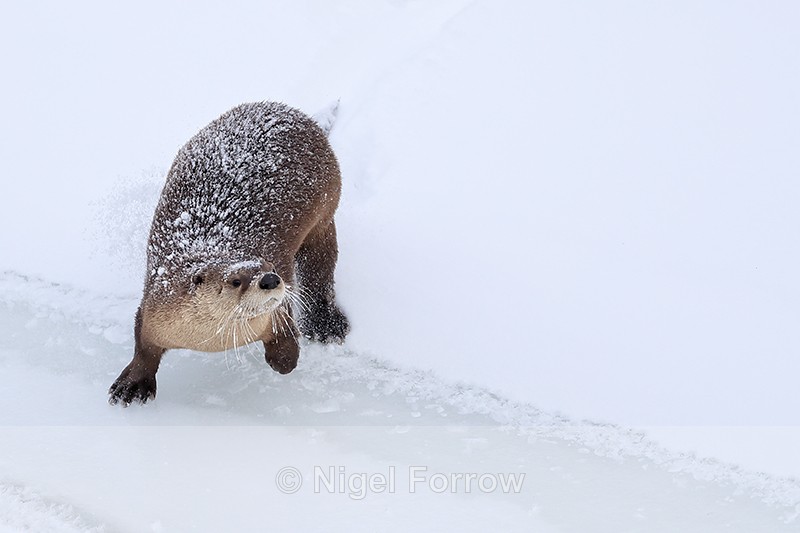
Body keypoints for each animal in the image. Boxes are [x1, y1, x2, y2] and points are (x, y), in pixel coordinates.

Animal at [109, 102, 349, 406]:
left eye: (271, 266)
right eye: (236, 281)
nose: (270, 280)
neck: (206, 341)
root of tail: (295, 113)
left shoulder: (279, 308)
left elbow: (285, 335)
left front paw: (283, 360)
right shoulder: (153, 306)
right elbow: (144, 346)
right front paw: (132, 384)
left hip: (325, 212)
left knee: (320, 269)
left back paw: (326, 324)